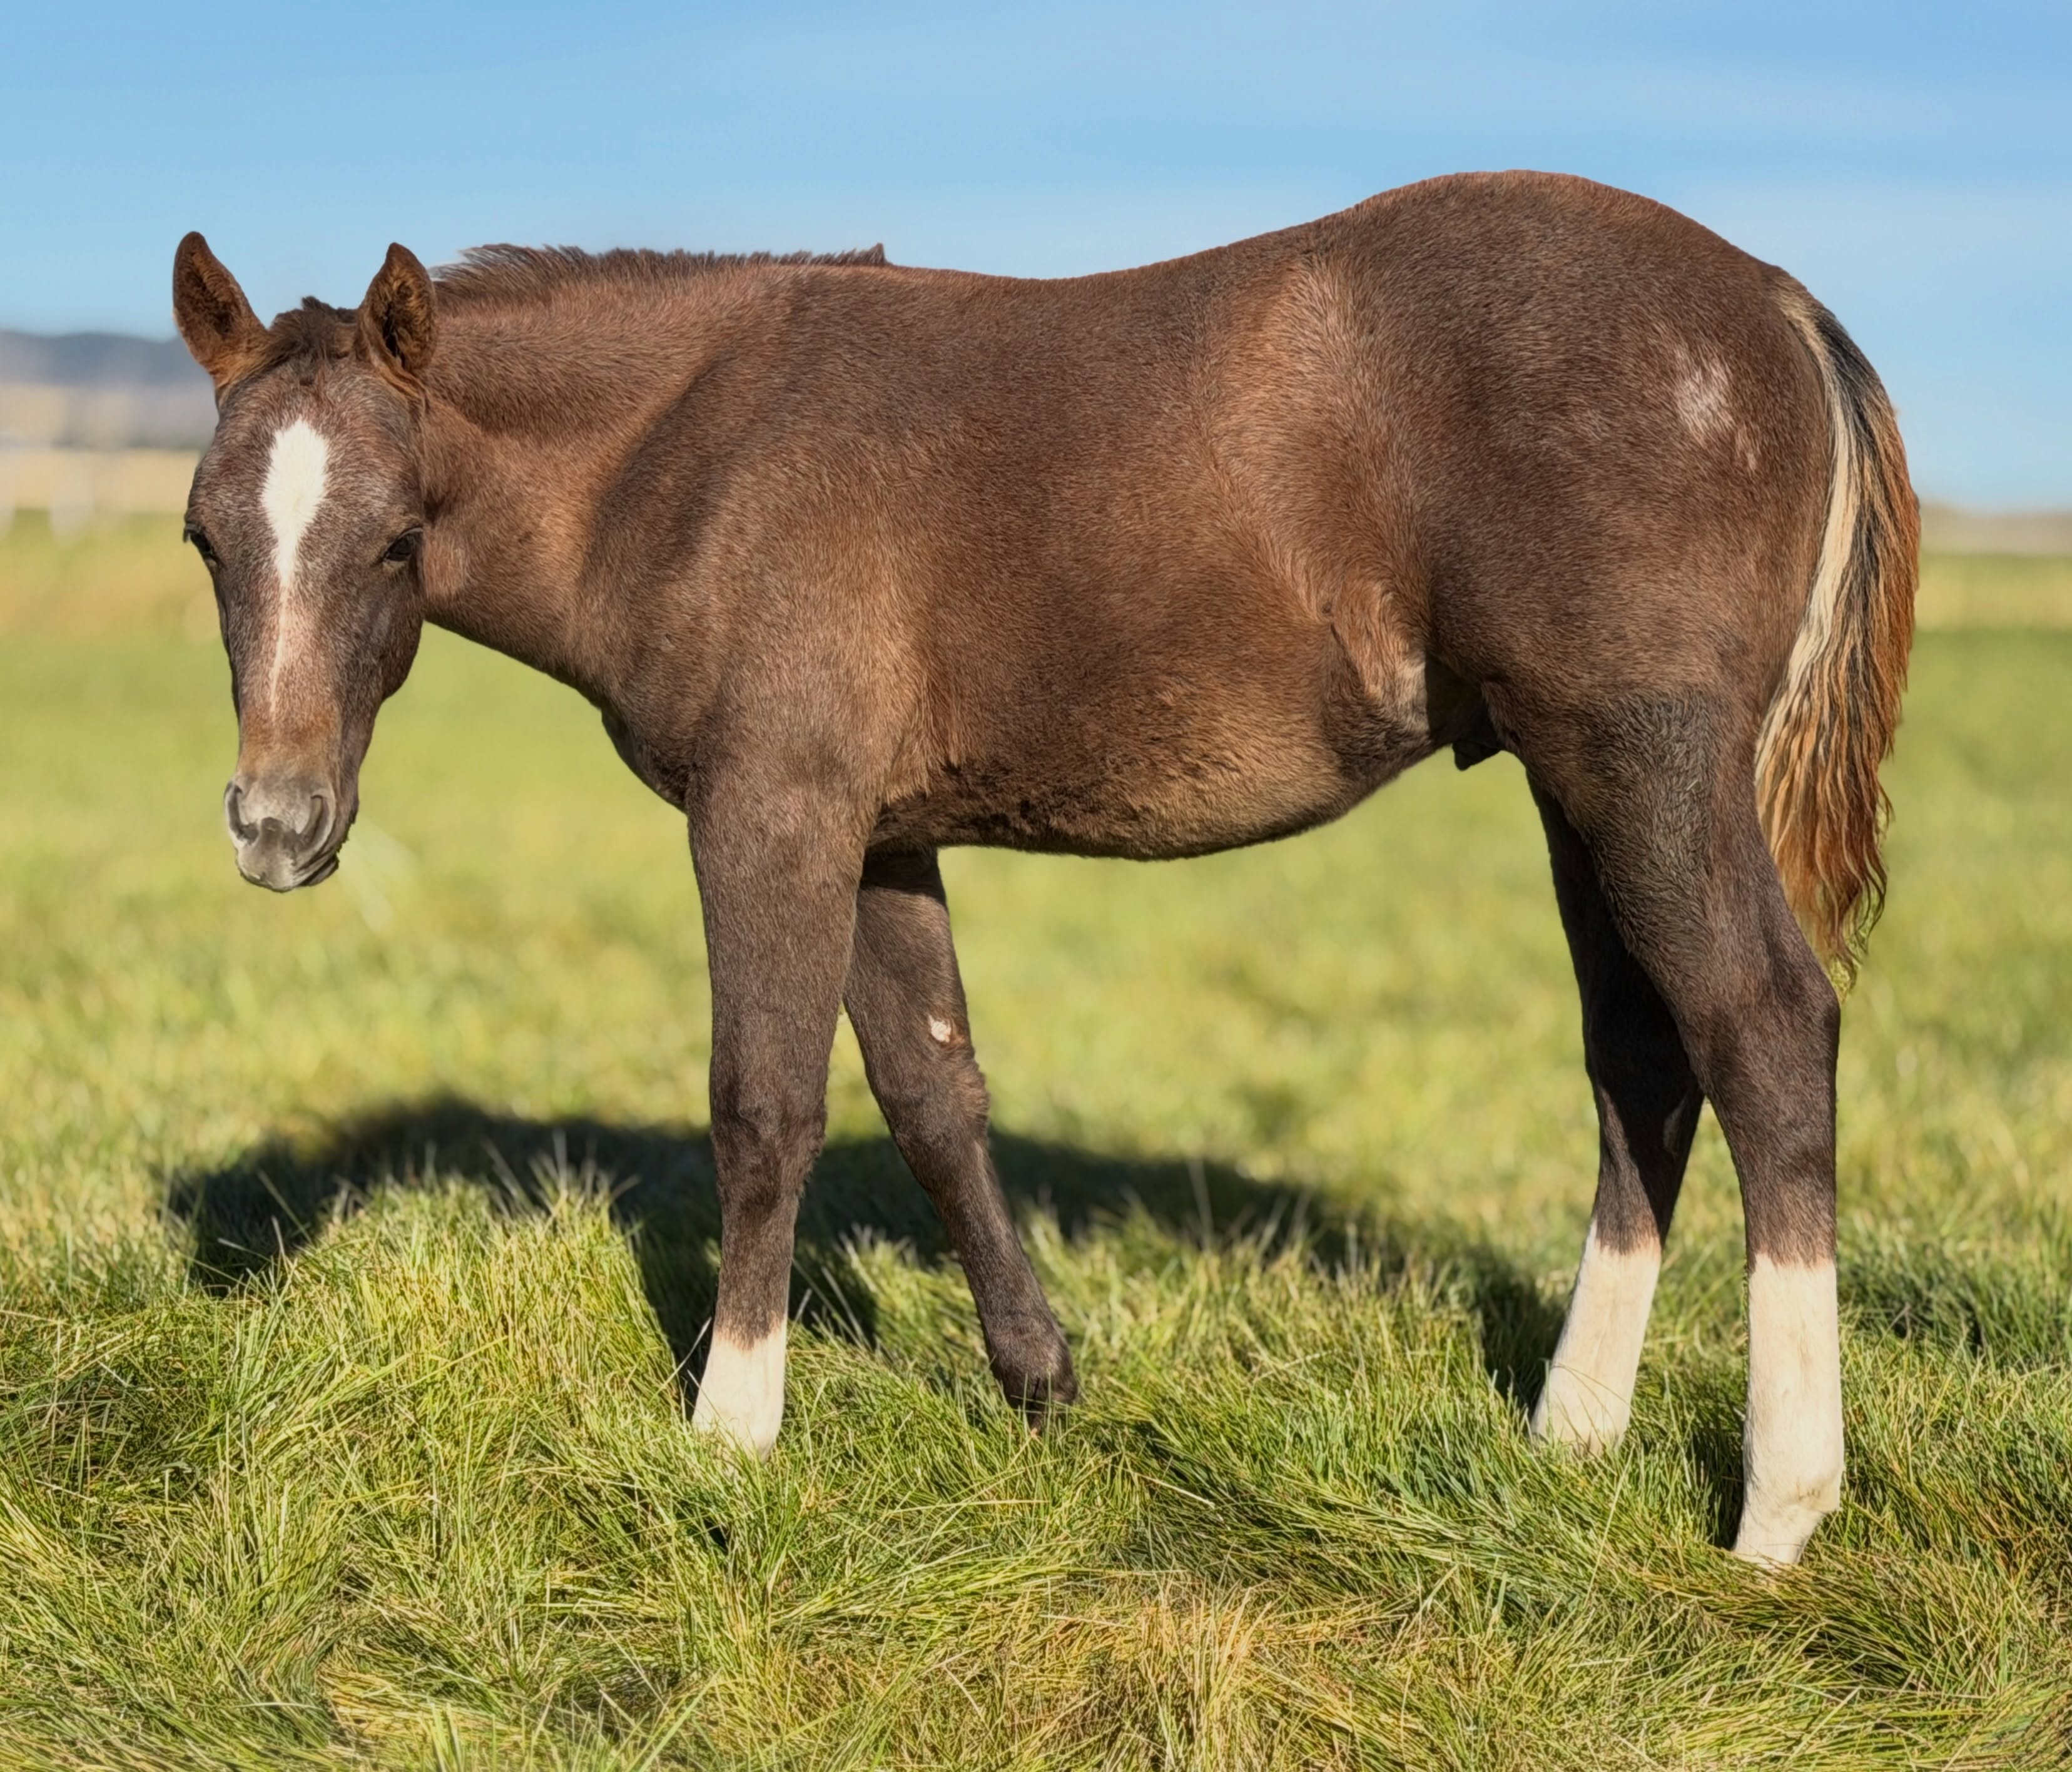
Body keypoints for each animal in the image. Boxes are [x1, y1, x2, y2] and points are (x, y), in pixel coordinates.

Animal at [170, 170, 1915, 1567]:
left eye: (398, 538)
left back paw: (1779, 1510)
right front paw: (1042, 1383)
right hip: (1576, 786)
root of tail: (1771, 298)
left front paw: (731, 1437)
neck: (696, 449)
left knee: (1766, 1032)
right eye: (203, 536)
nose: (274, 827)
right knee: (1643, 1061)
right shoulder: (883, 831)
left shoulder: (772, 811)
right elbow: (934, 1091)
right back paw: (1570, 1437)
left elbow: (765, 1109)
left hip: (1648, 768)